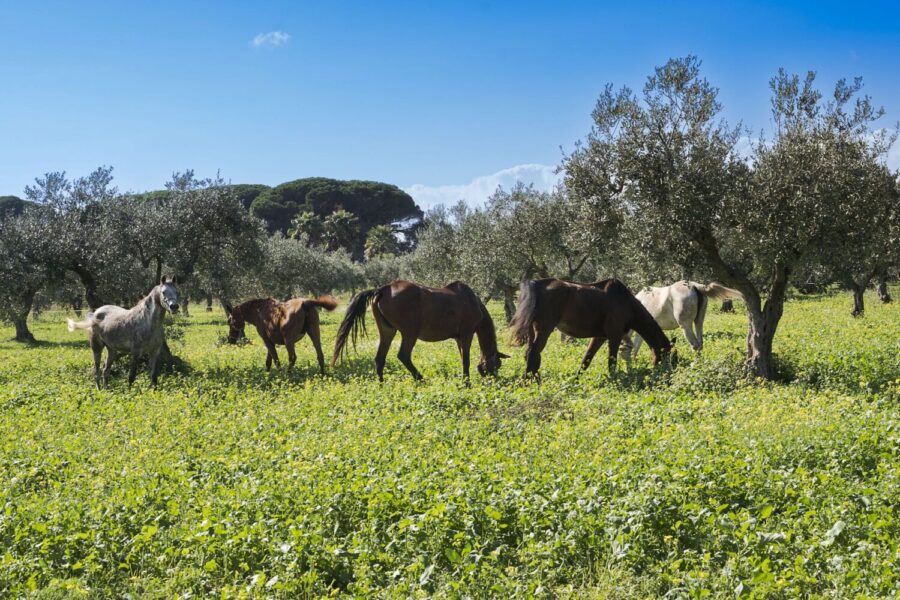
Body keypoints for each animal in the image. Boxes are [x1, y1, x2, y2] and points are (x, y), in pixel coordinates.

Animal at [331, 280, 509, 381]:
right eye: (497, 365)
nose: (495, 379)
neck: (474, 303)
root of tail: (383, 289)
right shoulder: (466, 334)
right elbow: (466, 359)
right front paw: (466, 382)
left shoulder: (458, 337)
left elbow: (462, 358)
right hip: (410, 332)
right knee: (403, 355)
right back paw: (420, 379)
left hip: (387, 331)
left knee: (380, 358)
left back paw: (382, 384)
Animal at [509, 278, 674, 378]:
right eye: (670, 356)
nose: (668, 373)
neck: (626, 303)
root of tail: (537, 283)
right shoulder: (614, 336)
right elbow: (612, 361)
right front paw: (614, 379)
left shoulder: (599, 337)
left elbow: (586, 359)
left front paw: (576, 379)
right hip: (544, 330)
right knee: (533, 354)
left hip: (532, 331)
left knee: (530, 354)